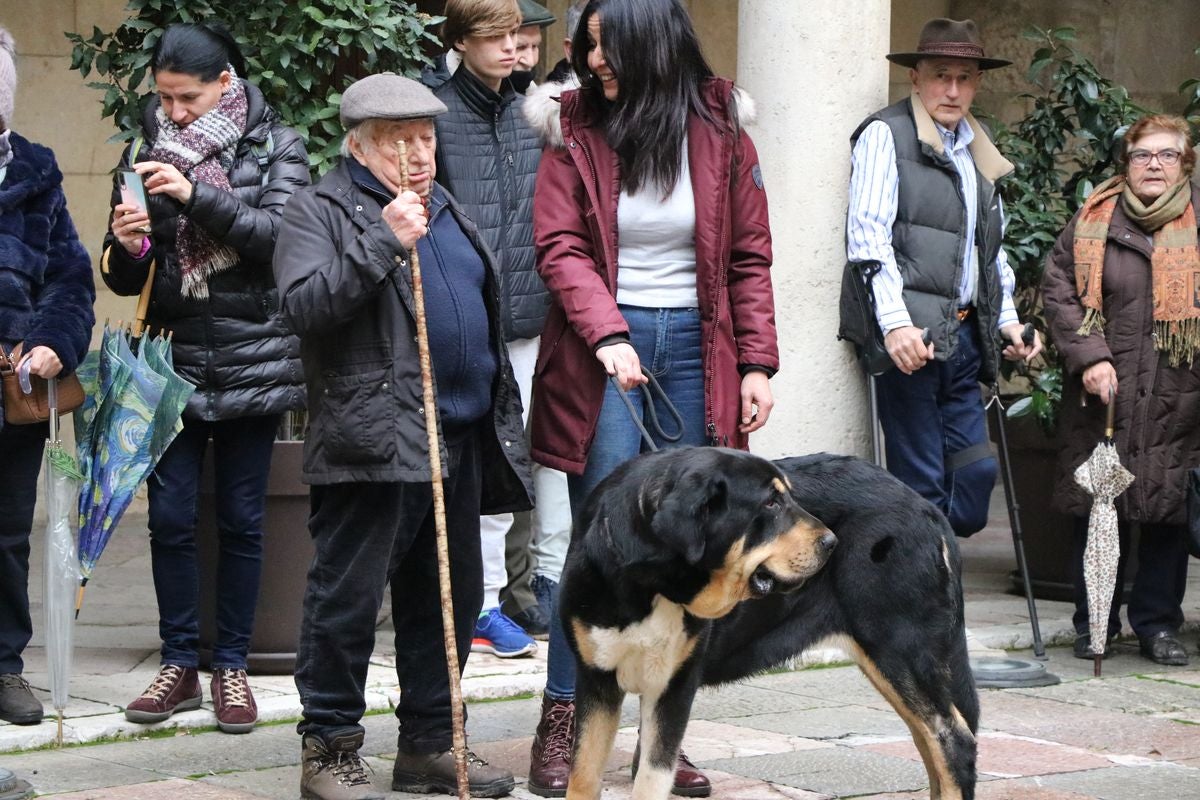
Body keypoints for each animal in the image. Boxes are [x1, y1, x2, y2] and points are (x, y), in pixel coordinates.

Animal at [556, 450, 979, 800]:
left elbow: (650, 780)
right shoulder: (596, 680)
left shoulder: (673, 685)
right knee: (930, 742)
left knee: (952, 742)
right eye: (772, 503)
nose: (831, 541)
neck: (650, 586)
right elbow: (583, 777)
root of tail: (925, 505)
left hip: (900, 647)